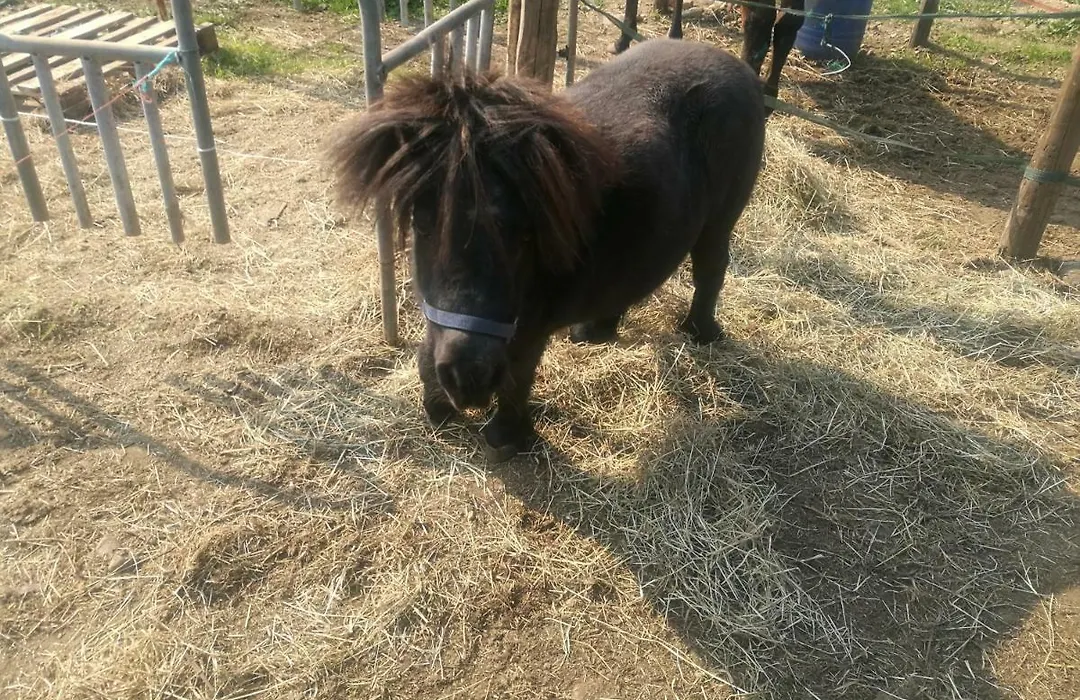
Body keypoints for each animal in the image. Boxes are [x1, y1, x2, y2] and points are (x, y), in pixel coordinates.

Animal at [326, 39, 766, 462]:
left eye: (523, 234)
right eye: (422, 226)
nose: (467, 378)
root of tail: (733, 64)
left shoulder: (531, 325)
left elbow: (518, 374)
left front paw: (507, 436)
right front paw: (438, 403)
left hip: (719, 222)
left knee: (711, 271)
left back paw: (701, 331)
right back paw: (596, 330)